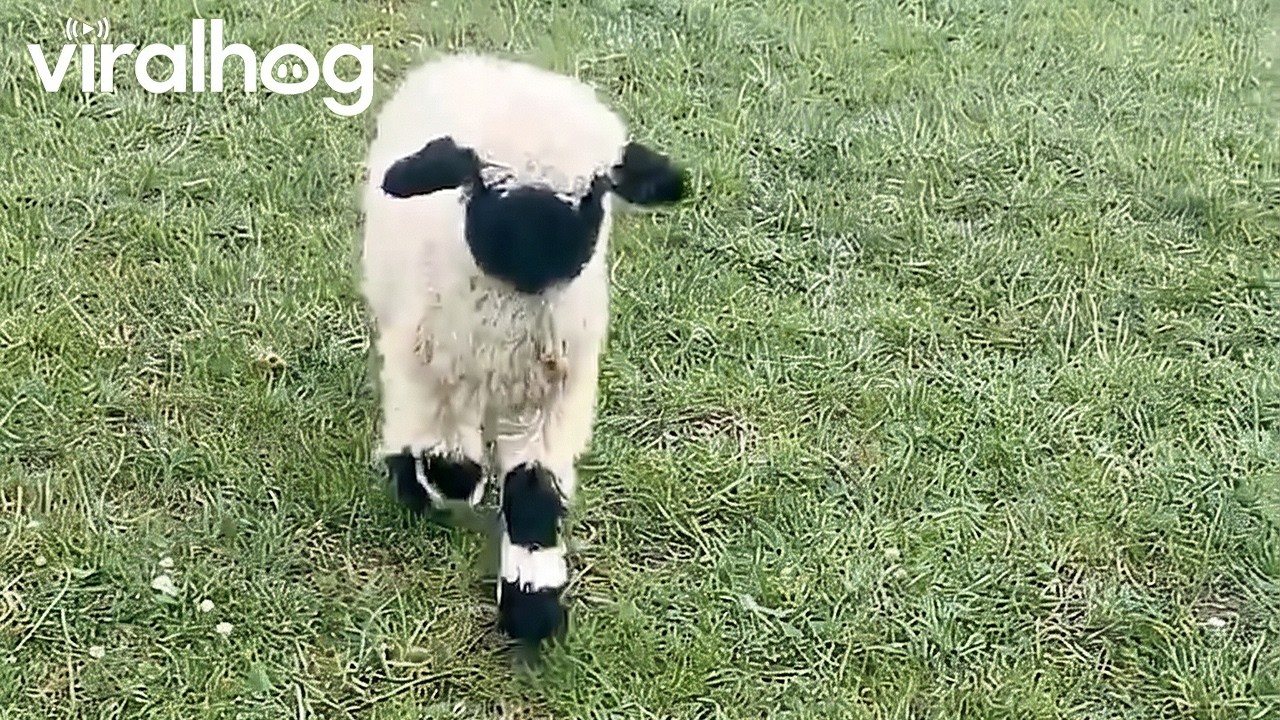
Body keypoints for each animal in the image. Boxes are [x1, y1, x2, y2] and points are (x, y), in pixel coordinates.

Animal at [358, 53, 688, 643]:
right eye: (481, 181)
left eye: (596, 190)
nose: (540, 249)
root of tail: (483, 63)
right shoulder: (437, 370)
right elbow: (451, 461)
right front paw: (444, 486)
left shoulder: (553, 400)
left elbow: (535, 493)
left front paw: (532, 606)